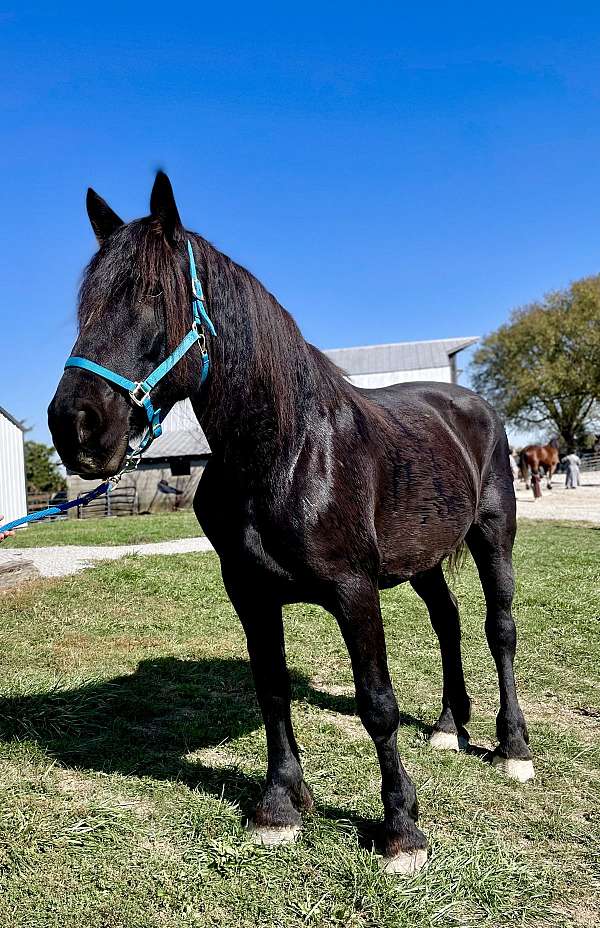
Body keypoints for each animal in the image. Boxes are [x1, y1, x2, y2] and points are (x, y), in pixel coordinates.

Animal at [49, 174, 532, 876]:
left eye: (154, 297)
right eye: (85, 305)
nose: (75, 427)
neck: (285, 453)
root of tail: (471, 404)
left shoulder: (355, 591)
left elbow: (377, 705)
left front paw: (401, 829)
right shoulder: (251, 594)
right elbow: (272, 689)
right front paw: (280, 806)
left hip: (492, 536)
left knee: (499, 630)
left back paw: (512, 748)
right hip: (422, 559)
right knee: (448, 621)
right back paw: (448, 728)